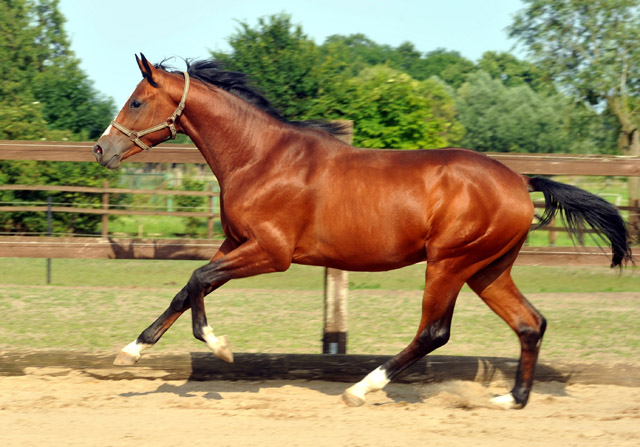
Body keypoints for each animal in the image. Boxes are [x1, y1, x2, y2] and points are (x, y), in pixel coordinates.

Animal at [92, 55, 632, 410]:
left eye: (137, 101)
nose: (101, 150)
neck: (261, 158)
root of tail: (520, 181)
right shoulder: (238, 243)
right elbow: (188, 287)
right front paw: (131, 352)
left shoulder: (271, 252)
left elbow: (198, 280)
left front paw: (217, 344)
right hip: (488, 269)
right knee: (529, 323)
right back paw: (511, 399)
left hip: (450, 263)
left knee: (434, 332)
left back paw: (361, 388)